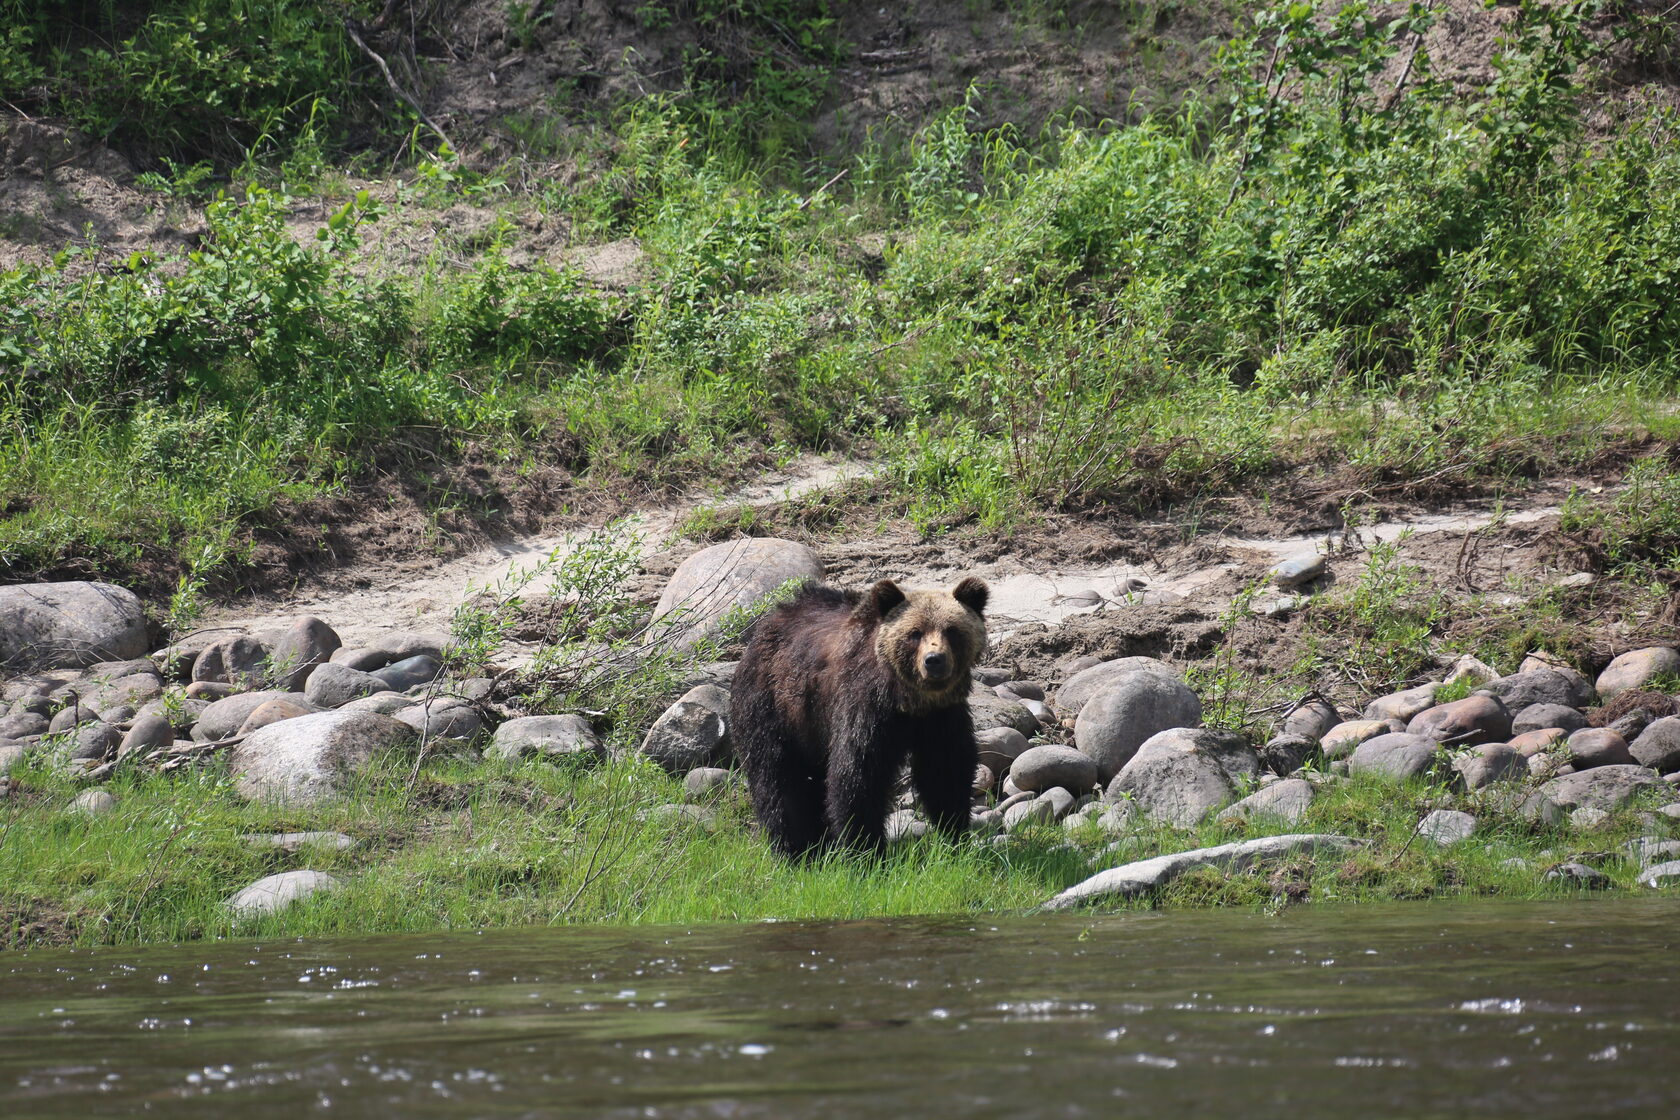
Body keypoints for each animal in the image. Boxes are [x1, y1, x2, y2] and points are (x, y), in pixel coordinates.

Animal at [732, 577, 987, 859]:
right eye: (915, 633)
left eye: (951, 630)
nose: (934, 660)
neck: (908, 702)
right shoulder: (864, 707)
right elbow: (857, 776)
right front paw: (866, 852)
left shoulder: (942, 717)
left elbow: (946, 772)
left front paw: (956, 836)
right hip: (774, 707)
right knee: (778, 779)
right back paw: (797, 850)